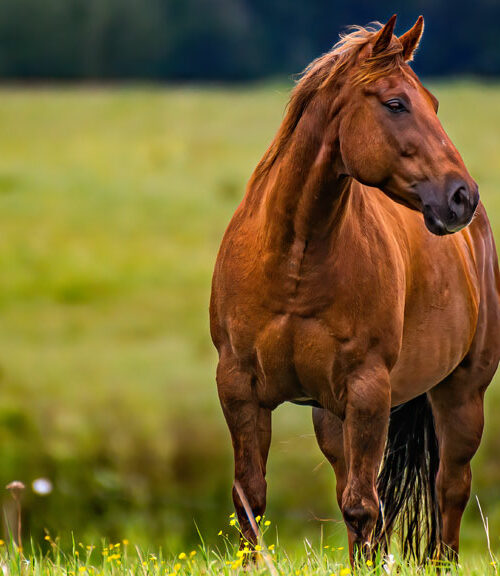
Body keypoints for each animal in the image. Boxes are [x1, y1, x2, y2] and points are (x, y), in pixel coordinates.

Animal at [210, 15, 500, 564]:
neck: (294, 260)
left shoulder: (369, 390)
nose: (461, 197)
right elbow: (250, 500)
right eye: (396, 103)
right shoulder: (239, 388)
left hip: (461, 394)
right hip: (332, 417)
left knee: (448, 490)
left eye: (433, 103)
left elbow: (363, 508)